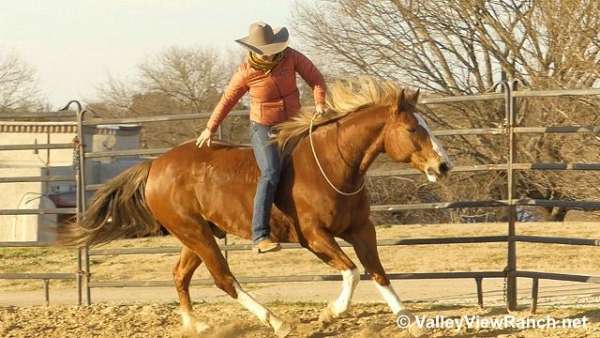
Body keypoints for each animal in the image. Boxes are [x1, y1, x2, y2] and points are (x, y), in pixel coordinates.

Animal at [61, 76, 450, 336]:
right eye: (413, 129)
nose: (443, 165)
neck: (331, 164)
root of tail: (155, 165)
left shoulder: (361, 230)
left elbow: (377, 272)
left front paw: (411, 322)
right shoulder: (314, 236)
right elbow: (352, 271)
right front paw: (329, 314)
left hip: (194, 235)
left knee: (181, 275)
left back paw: (195, 325)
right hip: (195, 233)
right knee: (224, 279)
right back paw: (276, 322)